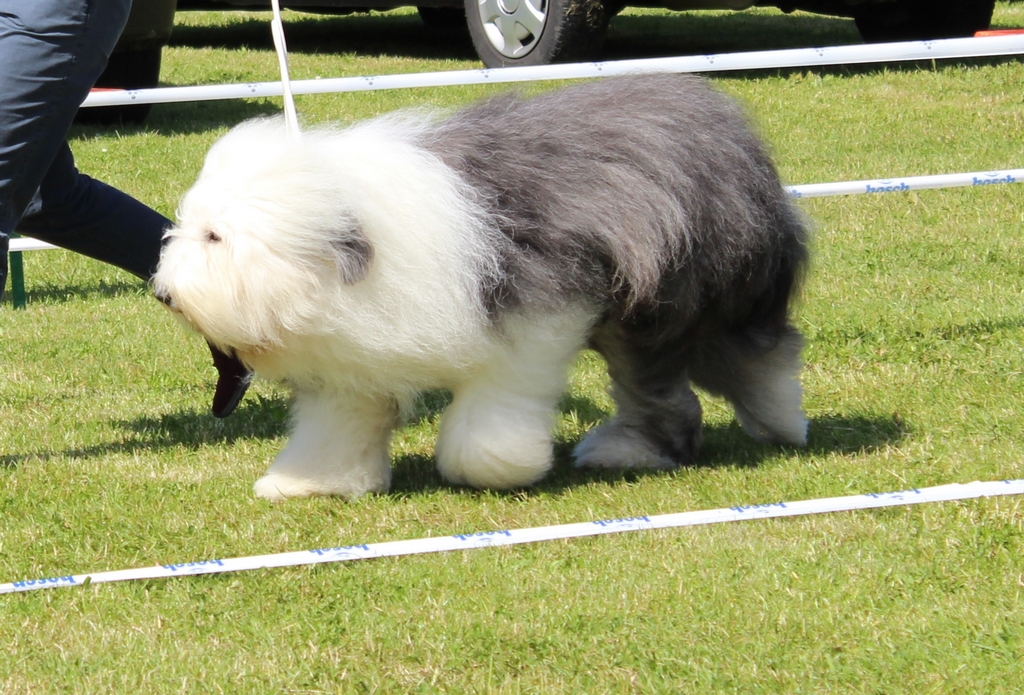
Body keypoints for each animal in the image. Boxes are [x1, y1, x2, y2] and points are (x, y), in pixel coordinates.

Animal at [152, 74, 810, 501]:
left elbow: (498, 406)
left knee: (753, 352)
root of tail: (715, 113)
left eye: (215, 236)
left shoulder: (534, 314)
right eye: (193, 226)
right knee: (665, 391)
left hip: (685, 293)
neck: (357, 249)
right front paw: (311, 482)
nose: (164, 295)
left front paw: (488, 468)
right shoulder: (355, 353)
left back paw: (780, 420)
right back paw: (633, 449)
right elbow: (337, 423)